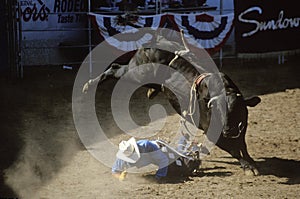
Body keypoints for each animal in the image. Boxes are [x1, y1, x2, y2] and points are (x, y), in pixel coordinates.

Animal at [82, 36, 260, 175]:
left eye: (236, 109)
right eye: (218, 109)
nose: (228, 130)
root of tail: (154, 41)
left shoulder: (241, 128)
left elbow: (242, 145)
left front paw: (251, 161)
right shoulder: (212, 133)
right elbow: (234, 149)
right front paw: (247, 167)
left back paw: (151, 91)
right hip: (137, 73)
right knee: (115, 69)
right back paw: (88, 85)